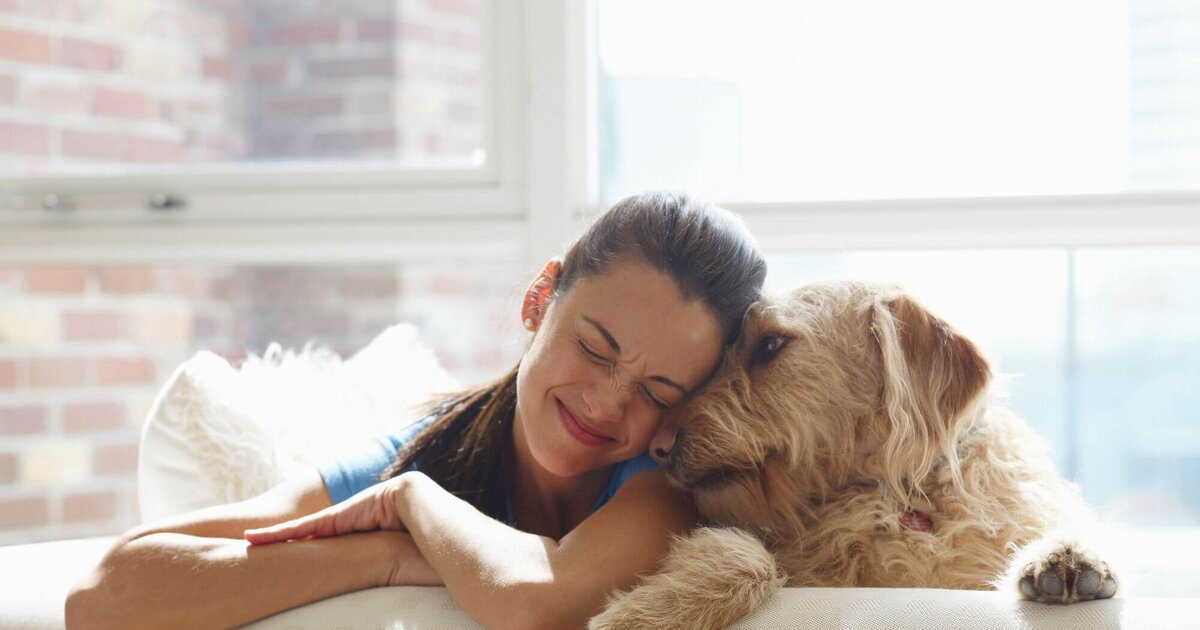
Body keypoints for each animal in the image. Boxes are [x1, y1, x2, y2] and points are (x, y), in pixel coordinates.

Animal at [590, 280, 1113, 628]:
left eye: (771, 343)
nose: (657, 448)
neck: (897, 498)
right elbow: (749, 554)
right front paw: (644, 613)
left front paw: (1066, 556)